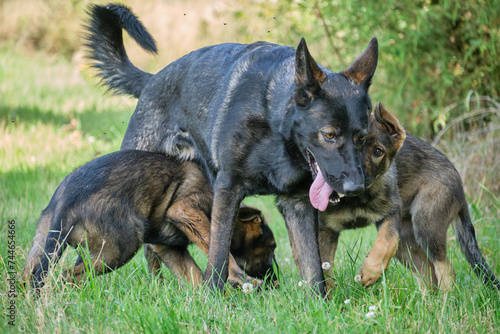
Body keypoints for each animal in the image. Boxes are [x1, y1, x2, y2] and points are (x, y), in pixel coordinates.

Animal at [85, 4, 378, 298]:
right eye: (329, 135)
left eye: (362, 138)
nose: (355, 188)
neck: (276, 125)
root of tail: (152, 79)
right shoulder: (227, 189)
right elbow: (219, 253)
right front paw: (213, 297)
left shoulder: (297, 205)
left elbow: (312, 266)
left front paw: (318, 303)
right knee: (154, 247)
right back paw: (160, 286)